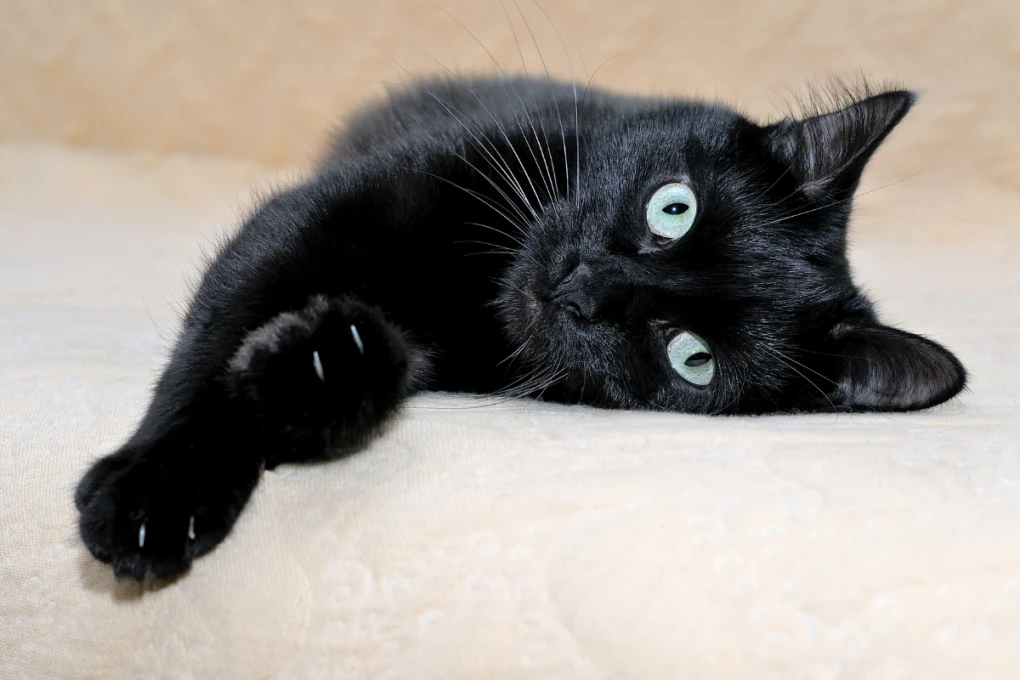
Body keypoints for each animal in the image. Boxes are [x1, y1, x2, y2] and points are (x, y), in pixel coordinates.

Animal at [75, 78, 966, 579]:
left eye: (694, 359)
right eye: (672, 208)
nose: (583, 290)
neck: (476, 289)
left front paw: (314, 371)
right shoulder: (315, 216)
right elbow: (214, 339)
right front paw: (156, 488)